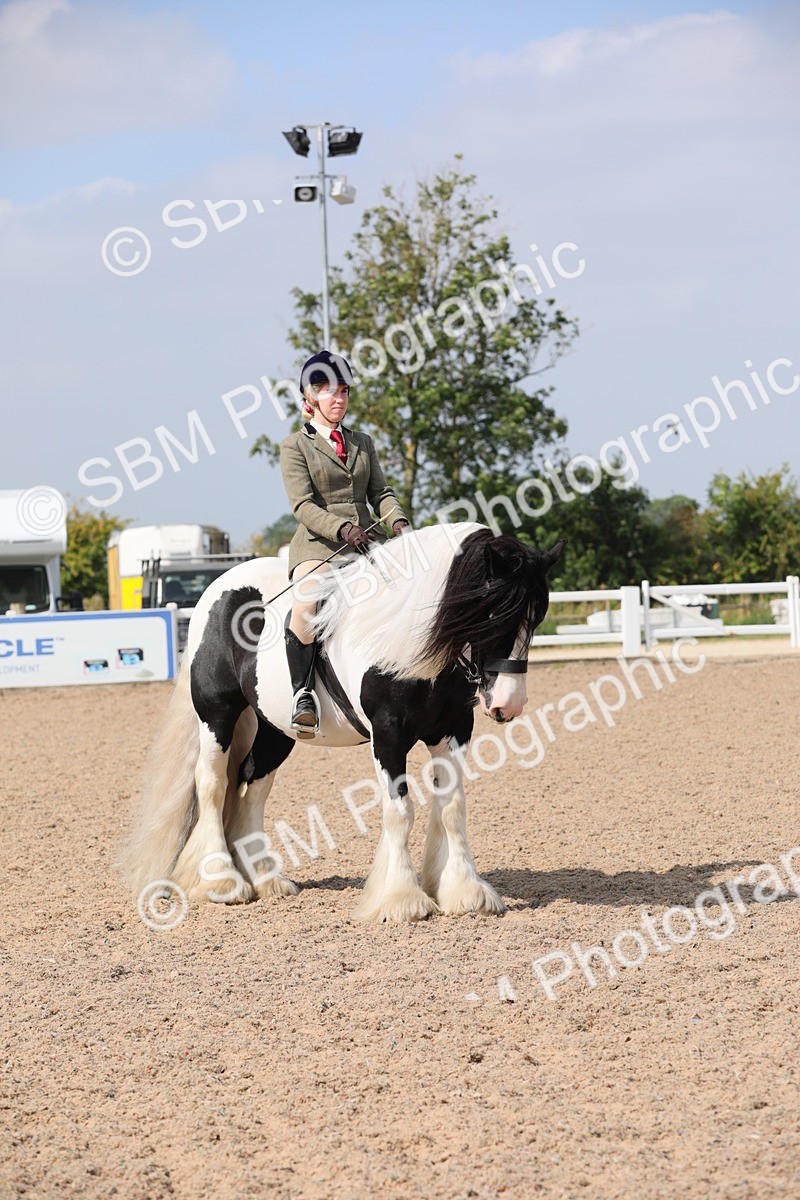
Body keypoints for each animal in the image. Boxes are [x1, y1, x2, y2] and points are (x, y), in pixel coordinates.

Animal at [123, 522, 565, 923]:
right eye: (491, 613)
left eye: (536, 617)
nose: (510, 703)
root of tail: (220, 587)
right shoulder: (388, 736)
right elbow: (400, 811)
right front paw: (401, 899)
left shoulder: (453, 731)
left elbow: (453, 807)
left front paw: (464, 891)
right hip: (218, 716)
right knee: (212, 785)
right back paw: (222, 881)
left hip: (276, 731)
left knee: (253, 789)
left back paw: (267, 880)